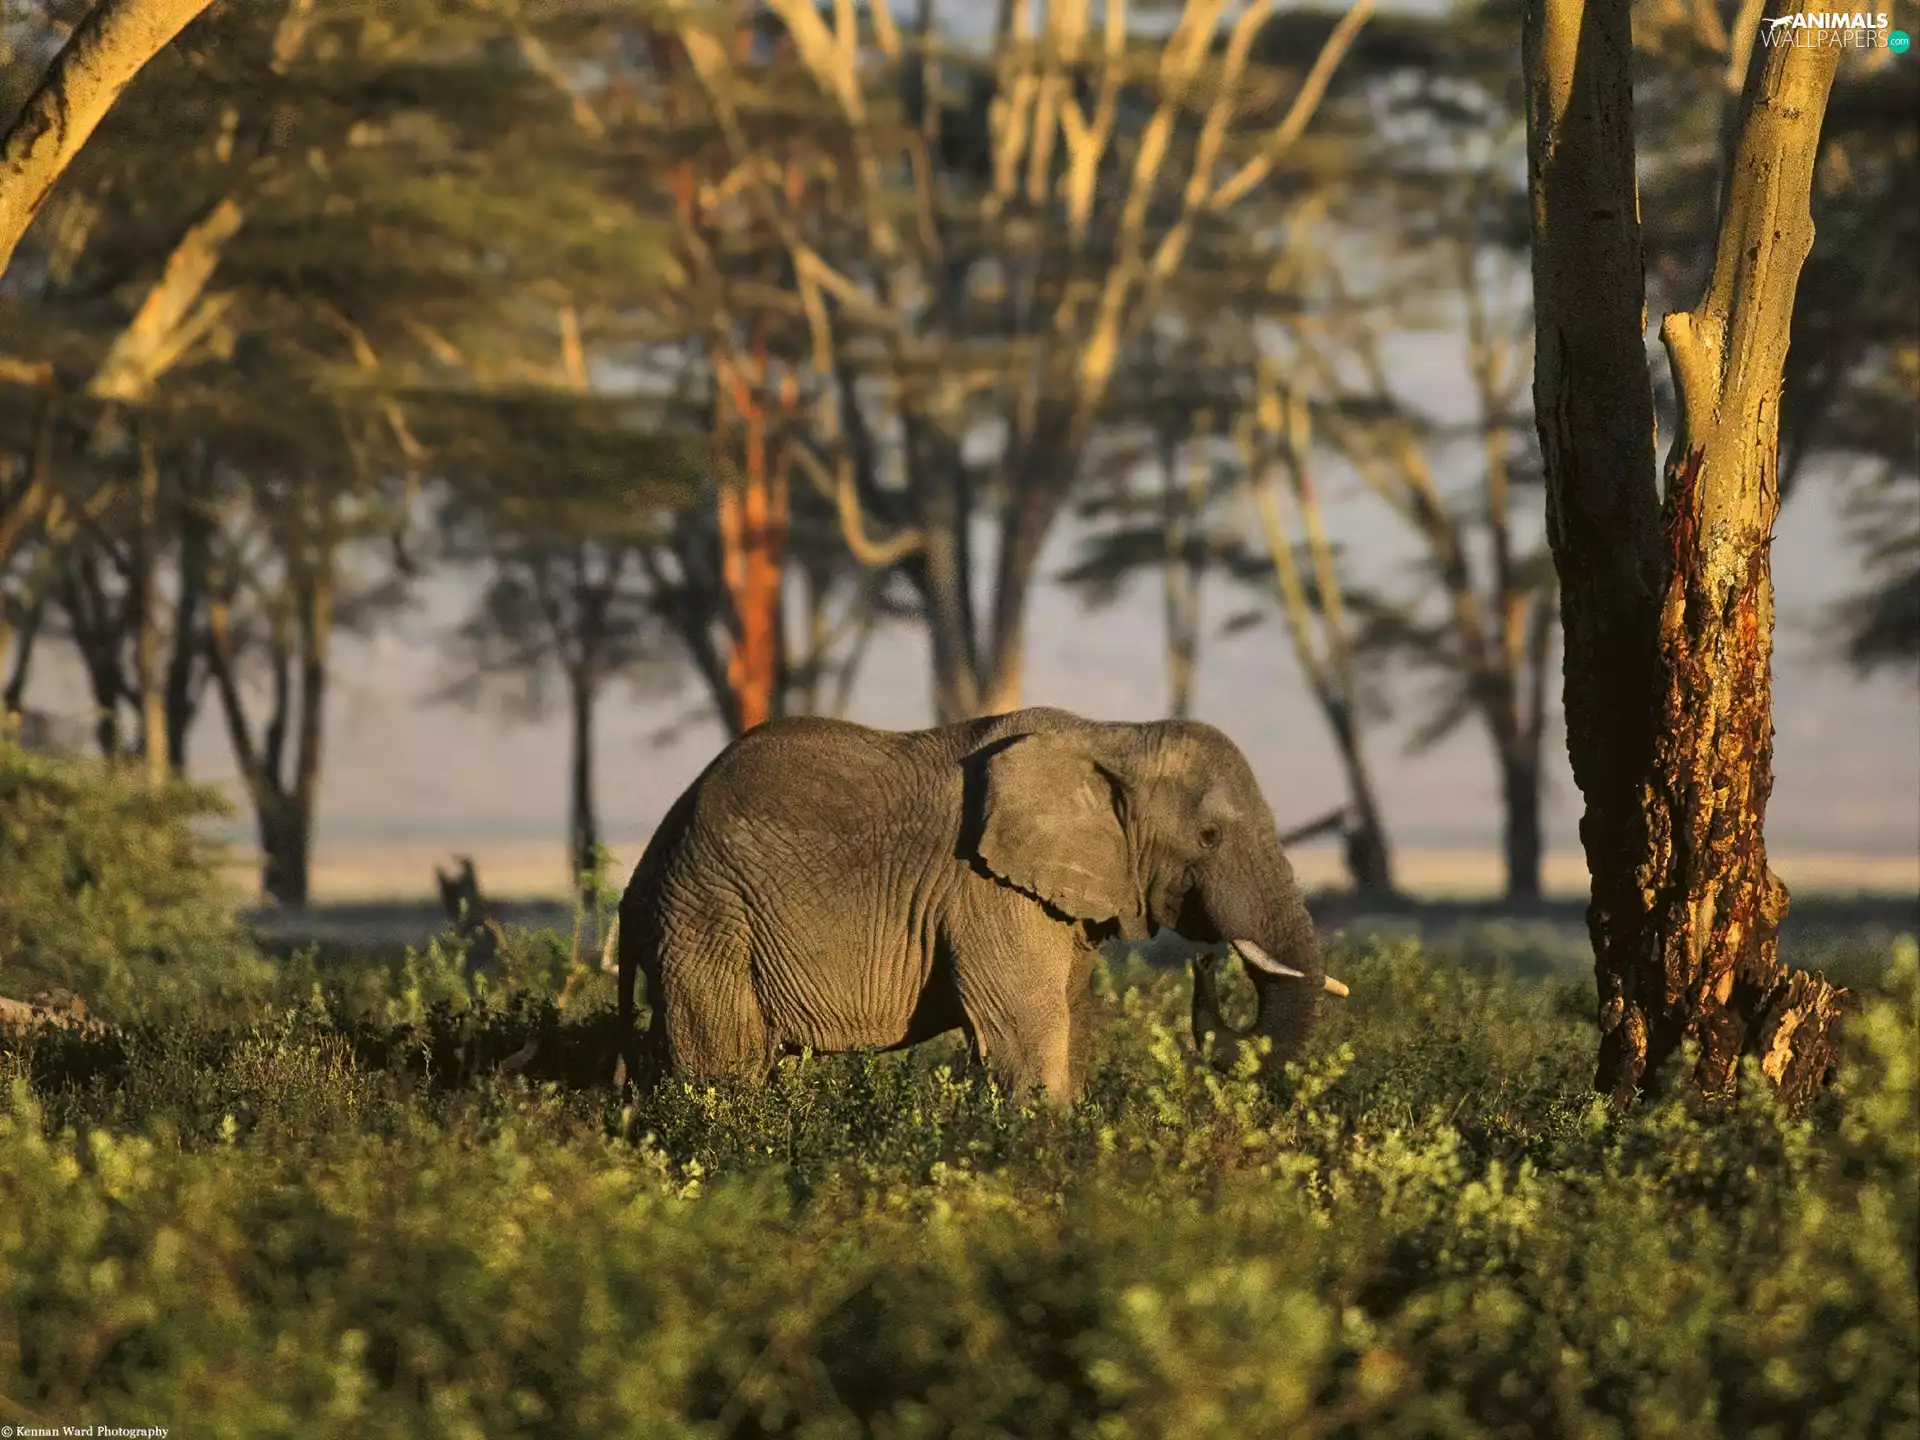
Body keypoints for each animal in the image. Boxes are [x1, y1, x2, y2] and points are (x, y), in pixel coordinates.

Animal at [615, 706, 1350, 1104]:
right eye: (1210, 836)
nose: (1205, 964)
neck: (1113, 738)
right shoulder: (988, 889)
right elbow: (1029, 1030)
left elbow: (1071, 1023)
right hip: (707, 915)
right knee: (725, 1064)